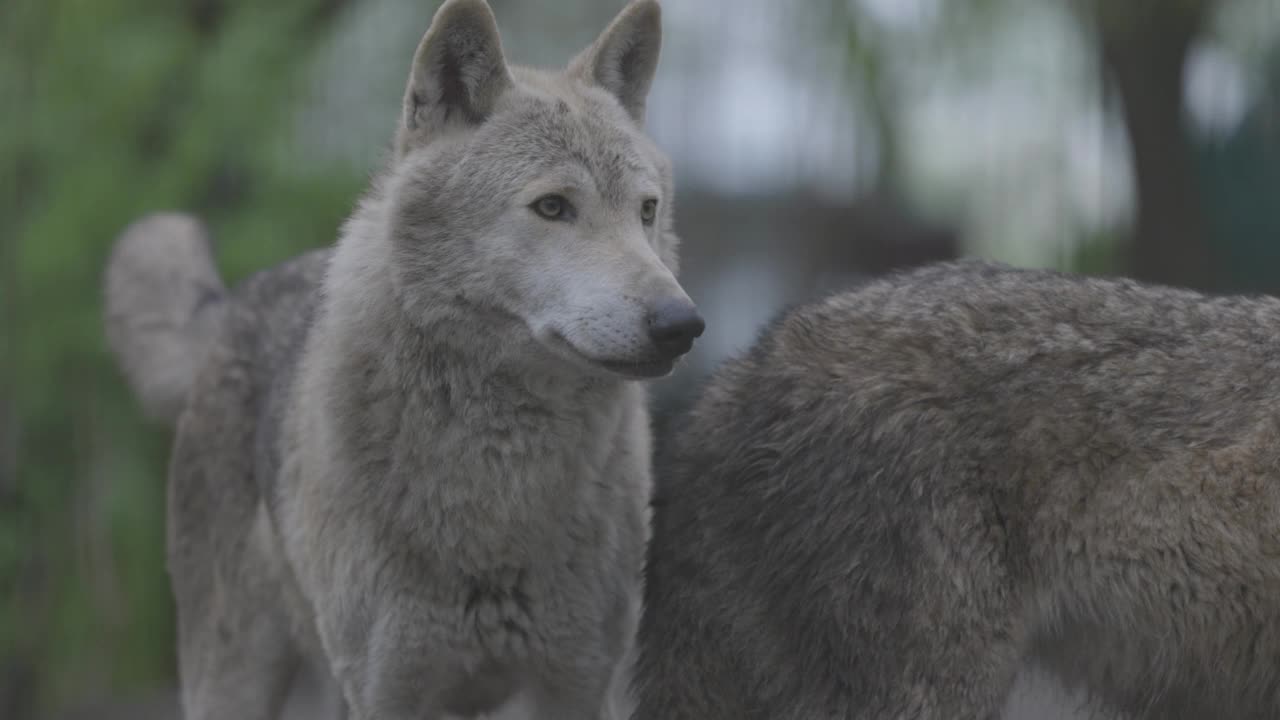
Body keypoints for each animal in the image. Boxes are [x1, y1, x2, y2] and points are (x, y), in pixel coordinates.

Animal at [104, 2, 701, 712]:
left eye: (646, 211)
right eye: (553, 207)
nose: (682, 324)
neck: (496, 499)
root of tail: (230, 302)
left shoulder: (574, 685)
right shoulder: (389, 691)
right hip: (238, 682)